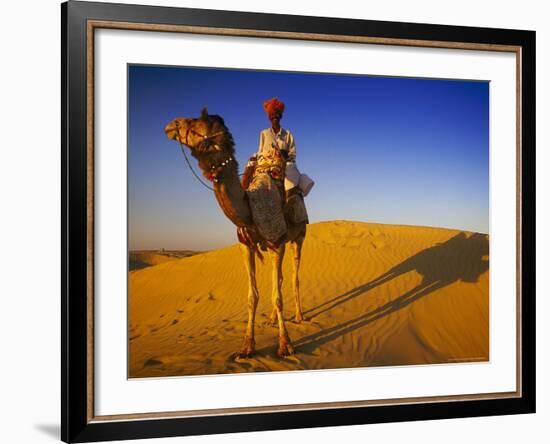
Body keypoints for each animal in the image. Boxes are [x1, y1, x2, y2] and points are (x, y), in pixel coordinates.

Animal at [166, 107, 308, 358]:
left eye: (196, 122)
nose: (172, 124)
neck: (250, 208)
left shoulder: (276, 241)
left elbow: (278, 297)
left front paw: (285, 345)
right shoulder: (246, 245)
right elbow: (253, 296)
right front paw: (247, 347)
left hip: (297, 237)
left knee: (294, 276)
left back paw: (300, 316)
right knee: (280, 279)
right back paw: (272, 320)